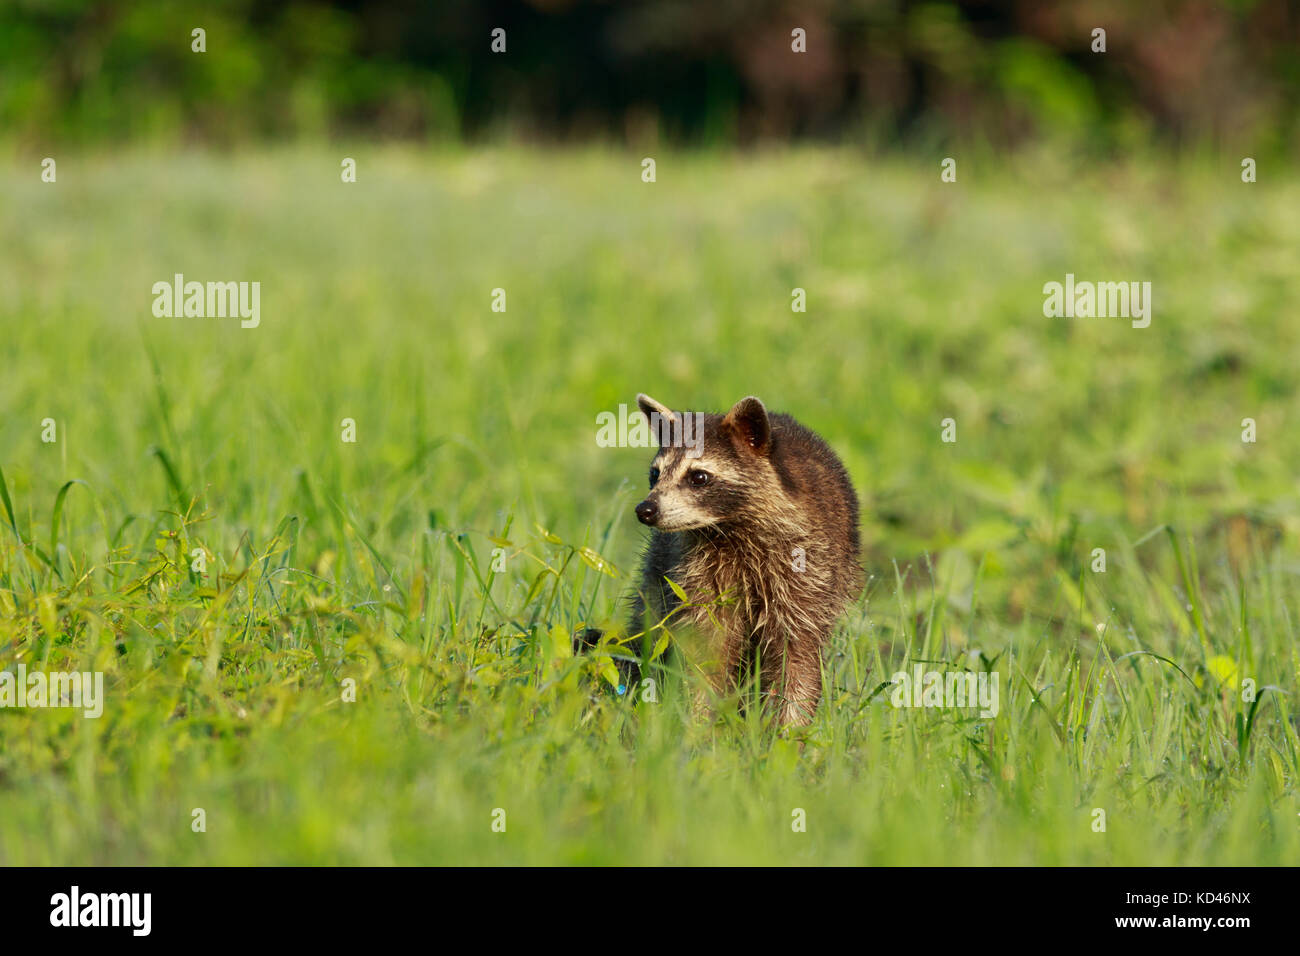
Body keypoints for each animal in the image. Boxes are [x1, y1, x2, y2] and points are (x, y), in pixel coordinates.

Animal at [592, 392, 863, 728]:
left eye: (698, 477)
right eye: (655, 474)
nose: (646, 510)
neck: (728, 529)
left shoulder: (807, 571)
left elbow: (797, 659)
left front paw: (787, 730)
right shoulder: (698, 575)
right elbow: (704, 654)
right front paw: (698, 721)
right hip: (659, 564)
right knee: (652, 622)